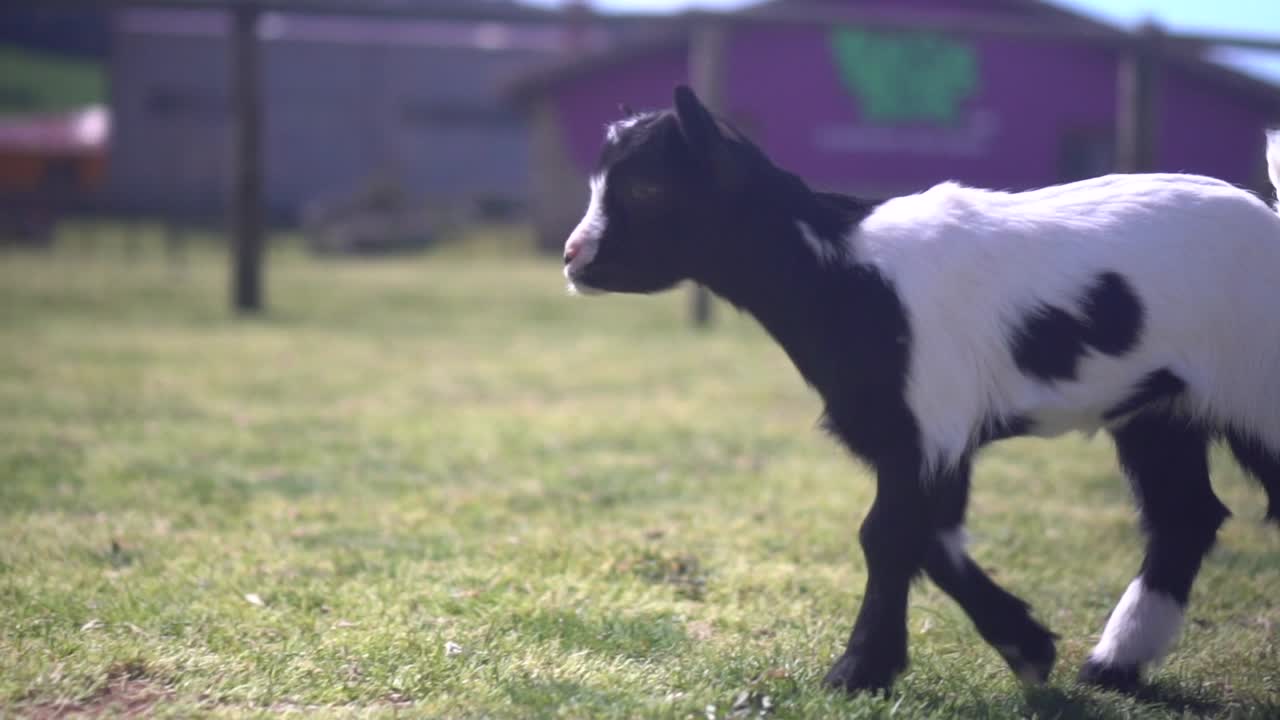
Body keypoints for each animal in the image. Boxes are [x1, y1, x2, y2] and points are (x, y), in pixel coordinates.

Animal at [562, 84, 1280, 695]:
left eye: (648, 187)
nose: (572, 256)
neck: (842, 272)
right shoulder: (918, 429)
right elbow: (928, 535)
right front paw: (1027, 647)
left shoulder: (927, 418)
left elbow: (886, 534)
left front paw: (857, 672)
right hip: (1162, 408)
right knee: (1184, 514)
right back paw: (1114, 665)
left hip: (1253, 388)